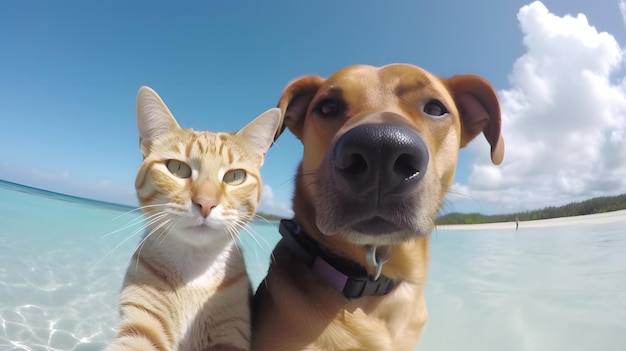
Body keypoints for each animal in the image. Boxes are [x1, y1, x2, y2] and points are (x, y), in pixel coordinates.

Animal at [107, 86, 280, 351]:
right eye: (177, 168)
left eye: (235, 176)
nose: (206, 203)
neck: (195, 271)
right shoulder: (142, 318)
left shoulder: (231, 329)